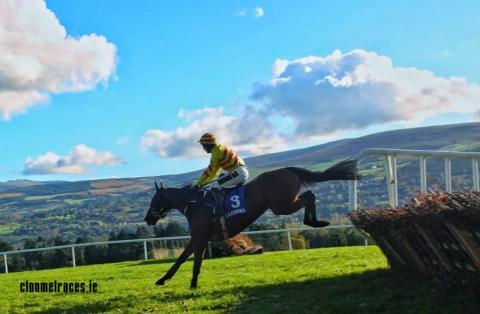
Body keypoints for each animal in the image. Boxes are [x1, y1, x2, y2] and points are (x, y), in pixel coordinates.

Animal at [144, 158, 358, 288]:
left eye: (155, 200)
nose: (147, 219)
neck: (195, 204)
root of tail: (285, 170)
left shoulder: (201, 238)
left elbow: (193, 261)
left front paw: (192, 284)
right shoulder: (197, 238)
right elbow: (181, 259)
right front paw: (163, 279)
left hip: (282, 205)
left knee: (309, 196)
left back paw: (315, 221)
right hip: (284, 204)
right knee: (309, 196)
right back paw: (315, 221)